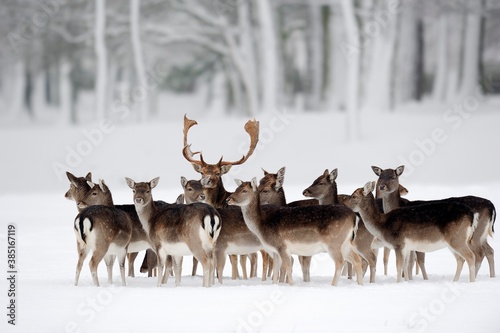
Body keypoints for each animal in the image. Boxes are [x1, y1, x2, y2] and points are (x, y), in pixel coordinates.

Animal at [184, 114, 262, 280]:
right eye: (202, 172)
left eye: (217, 173)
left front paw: (234, 278)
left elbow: (232, 260)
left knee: (253, 256)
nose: (206, 180)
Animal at [228, 176, 364, 286]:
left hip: (334, 242)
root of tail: (354, 216)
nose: (228, 199)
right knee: (357, 259)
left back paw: (333, 285)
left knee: (340, 262)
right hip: (346, 243)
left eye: (244, 190)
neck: (262, 226)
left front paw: (291, 285)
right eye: (236, 189)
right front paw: (274, 285)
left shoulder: (282, 246)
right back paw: (360, 285)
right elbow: (276, 269)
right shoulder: (274, 250)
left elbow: (288, 266)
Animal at [344, 180, 476, 282]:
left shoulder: (399, 244)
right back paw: (455, 281)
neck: (383, 225)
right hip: (453, 242)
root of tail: (471, 214)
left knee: (471, 256)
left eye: (354, 196)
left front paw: (398, 283)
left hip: (457, 238)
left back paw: (471, 282)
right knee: (460, 259)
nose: (344, 205)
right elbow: (406, 267)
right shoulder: (407, 247)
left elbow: (399, 267)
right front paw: (406, 282)